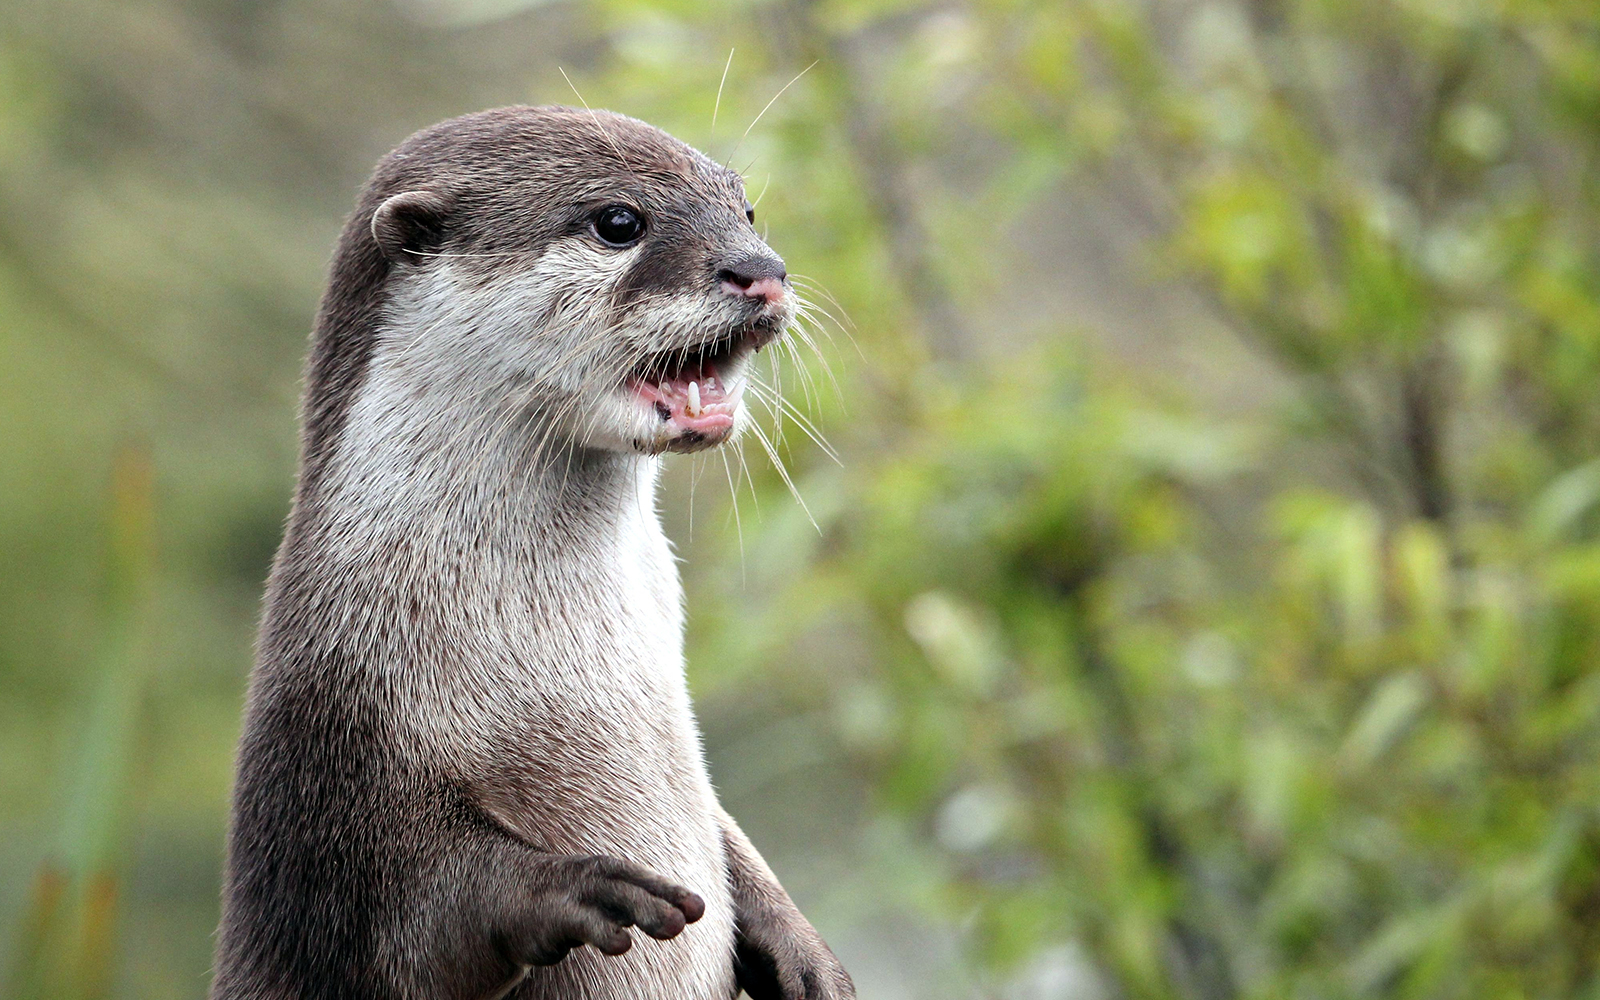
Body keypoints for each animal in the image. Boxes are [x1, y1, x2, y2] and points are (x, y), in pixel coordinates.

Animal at [210, 106, 853, 1000]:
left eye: (748, 210)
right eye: (618, 222)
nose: (761, 271)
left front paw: (806, 953)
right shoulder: (334, 787)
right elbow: (416, 919)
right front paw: (575, 888)